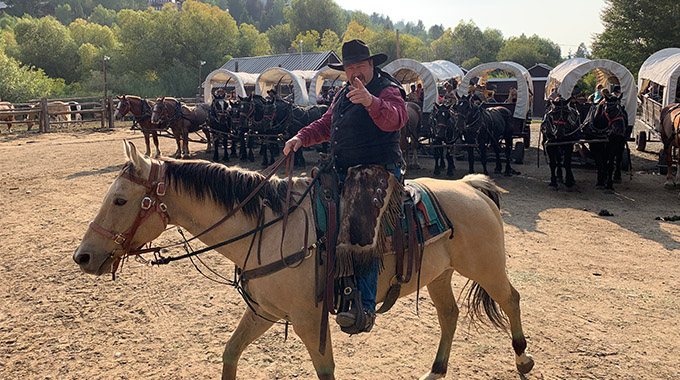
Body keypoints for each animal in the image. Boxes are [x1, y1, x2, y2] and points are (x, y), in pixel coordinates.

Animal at [71, 141, 532, 380]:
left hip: (486, 267)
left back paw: (523, 357)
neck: (268, 230)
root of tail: (471, 186)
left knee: (511, 298)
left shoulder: (312, 322)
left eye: (120, 199)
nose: (83, 256)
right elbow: (230, 353)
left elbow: (325, 371)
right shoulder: (264, 311)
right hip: (439, 273)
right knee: (450, 315)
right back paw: (435, 369)